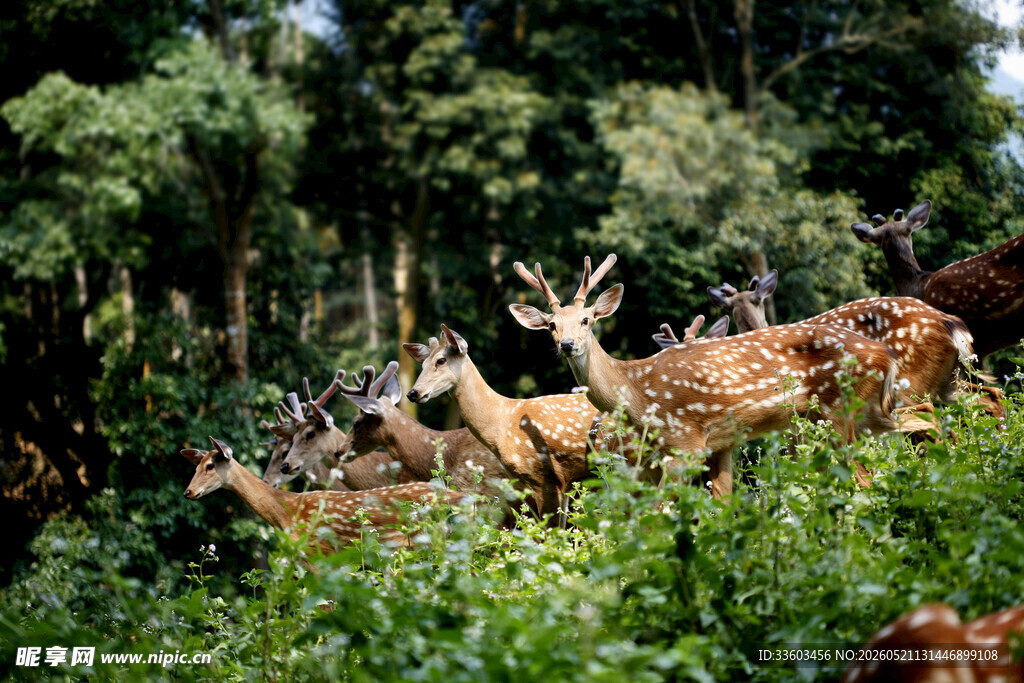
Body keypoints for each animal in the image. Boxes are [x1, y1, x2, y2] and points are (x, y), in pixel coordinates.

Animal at [509, 254, 936, 498]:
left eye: (586, 319)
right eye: (550, 325)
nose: (567, 344)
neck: (638, 392)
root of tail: (884, 353)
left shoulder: (685, 442)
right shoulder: (722, 443)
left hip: (838, 411)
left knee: (865, 476)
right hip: (871, 411)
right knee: (924, 419)